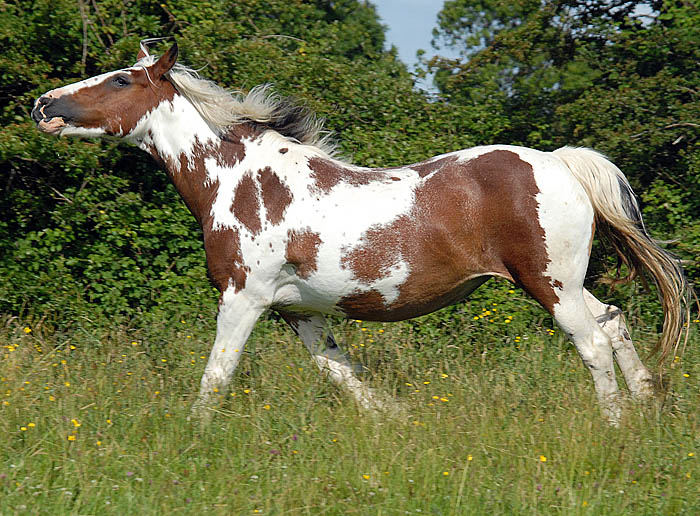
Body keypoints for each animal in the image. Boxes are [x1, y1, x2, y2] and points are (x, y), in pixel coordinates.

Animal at [31, 38, 688, 422]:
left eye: (121, 81)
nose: (43, 106)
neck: (242, 182)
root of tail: (561, 161)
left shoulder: (244, 296)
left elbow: (216, 375)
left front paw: (193, 440)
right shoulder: (298, 310)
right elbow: (344, 375)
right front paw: (401, 426)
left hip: (549, 284)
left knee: (594, 343)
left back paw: (614, 426)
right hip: (568, 285)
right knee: (614, 321)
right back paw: (649, 405)